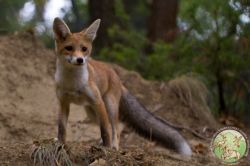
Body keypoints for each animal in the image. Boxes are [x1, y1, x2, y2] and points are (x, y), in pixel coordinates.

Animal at [52, 17, 192, 156]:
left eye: (84, 49)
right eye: (69, 48)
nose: (80, 60)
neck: (72, 84)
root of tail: (117, 76)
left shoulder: (98, 102)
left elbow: (105, 130)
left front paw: (107, 148)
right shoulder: (63, 103)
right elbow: (62, 129)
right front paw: (61, 145)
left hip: (108, 105)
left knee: (116, 127)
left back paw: (114, 146)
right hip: (92, 111)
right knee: (110, 125)